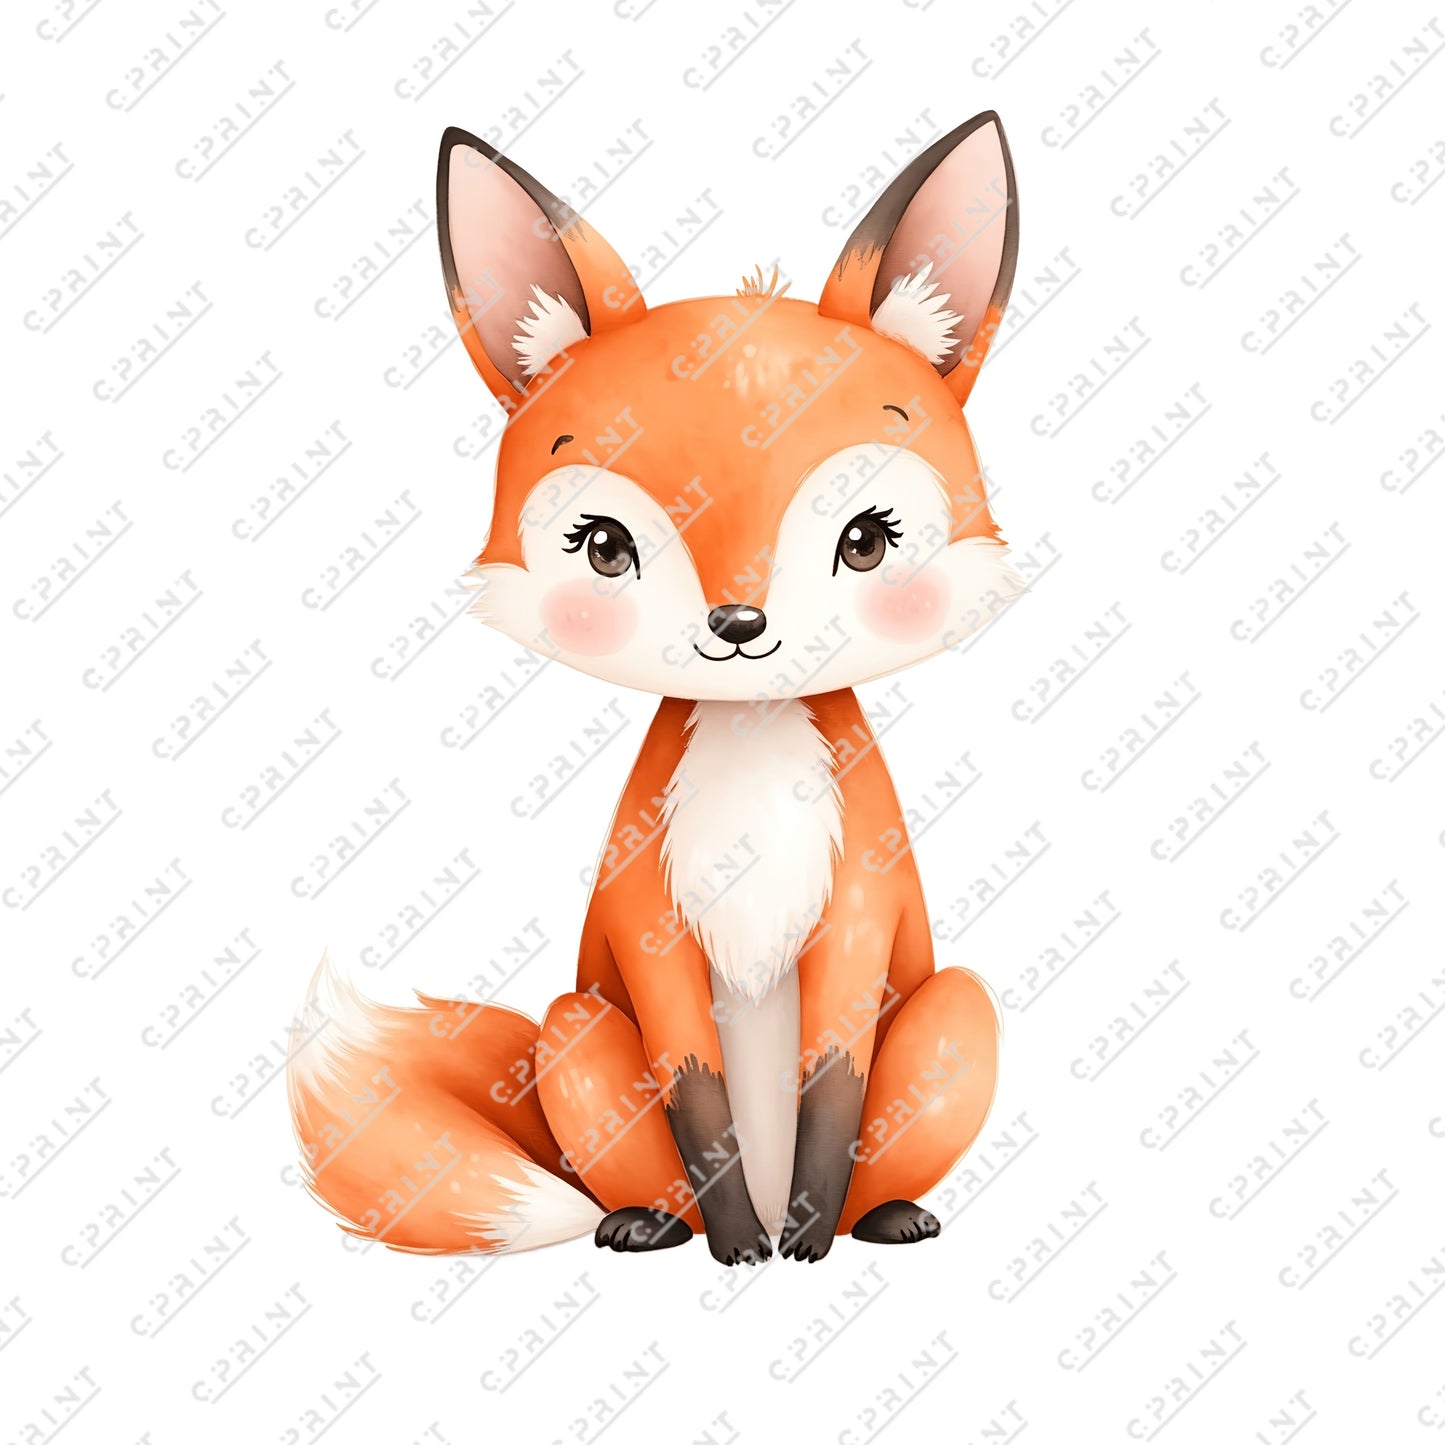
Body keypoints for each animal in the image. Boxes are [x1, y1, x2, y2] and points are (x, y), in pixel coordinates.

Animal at [287, 112, 1021, 1265]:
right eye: (605, 547)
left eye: (865, 541)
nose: (739, 627)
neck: (750, 764)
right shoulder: (653, 924)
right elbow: (695, 1091)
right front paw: (739, 1241)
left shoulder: (853, 915)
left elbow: (833, 1082)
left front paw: (804, 1235)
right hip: (575, 1029)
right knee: (620, 1171)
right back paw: (647, 1223)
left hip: (959, 1008)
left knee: (888, 1132)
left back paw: (880, 1216)